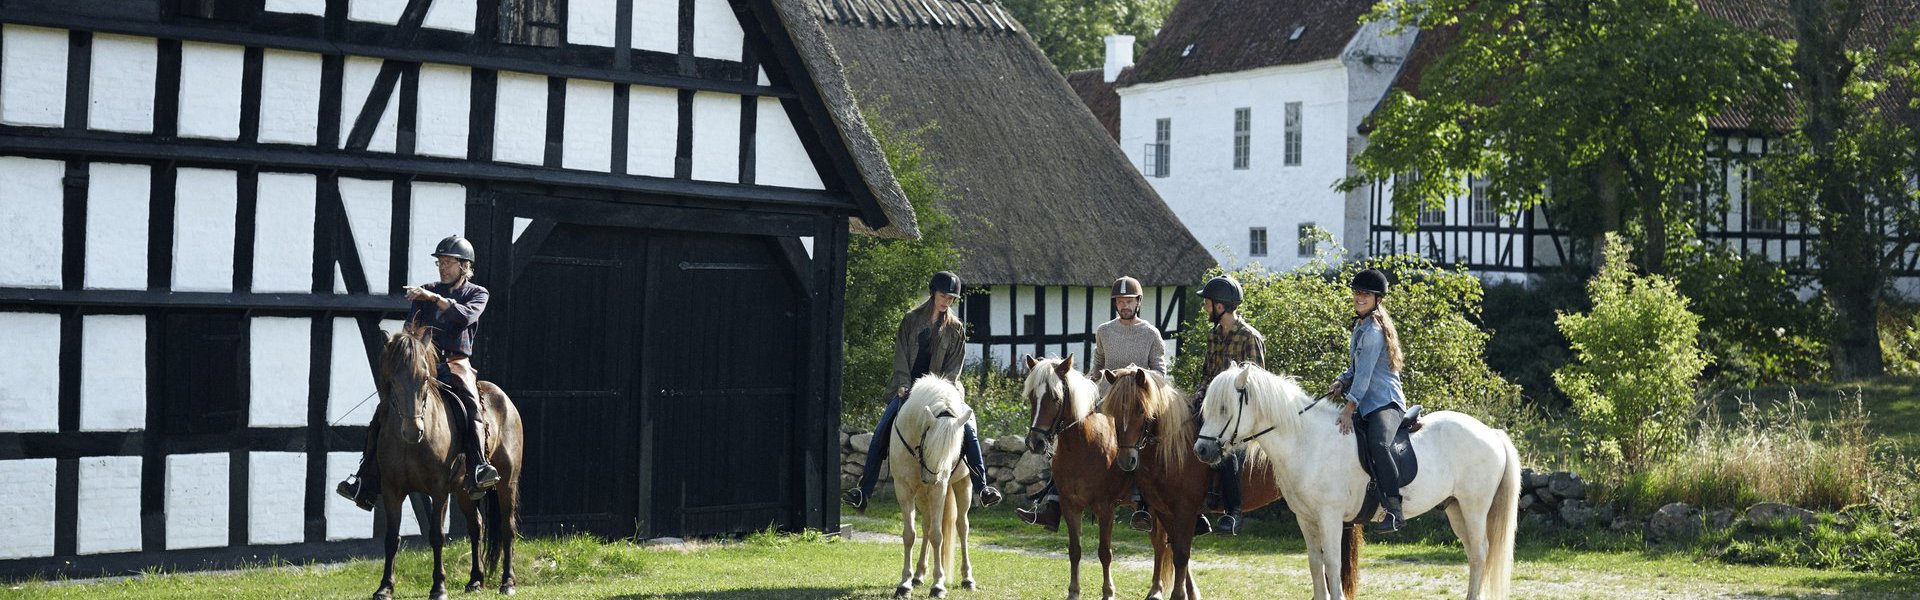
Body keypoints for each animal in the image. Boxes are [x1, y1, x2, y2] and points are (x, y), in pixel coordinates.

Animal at [371, 325, 525, 599]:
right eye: (392, 379)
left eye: (424, 378)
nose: (413, 431)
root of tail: (504, 399)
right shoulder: (391, 490)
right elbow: (391, 538)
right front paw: (385, 587)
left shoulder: (439, 490)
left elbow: (436, 535)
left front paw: (438, 587)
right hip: (464, 491)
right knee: (476, 527)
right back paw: (475, 580)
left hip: (507, 483)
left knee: (507, 528)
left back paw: (507, 582)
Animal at [888, 374, 976, 599]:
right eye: (928, 445)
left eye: (955, 450)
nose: (932, 478)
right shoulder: (904, 489)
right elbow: (910, 534)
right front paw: (905, 583)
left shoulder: (939, 490)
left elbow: (938, 536)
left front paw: (938, 585)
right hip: (922, 494)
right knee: (926, 525)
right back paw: (918, 575)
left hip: (963, 486)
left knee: (962, 527)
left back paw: (967, 578)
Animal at [1021, 355, 1131, 600]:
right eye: (1033, 397)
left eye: (1055, 397)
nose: (1036, 443)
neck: (1083, 446)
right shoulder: (1070, 505)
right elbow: (1075, 550)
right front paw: (1073, 590)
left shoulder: (1106, 507)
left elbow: (1105, 552)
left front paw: (1108, 591)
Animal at [1096, 365, 1304, 600]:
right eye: (1113, 411)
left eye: (1141, 409)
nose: (1127, 460)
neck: (1176, 448)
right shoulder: (1165, 511)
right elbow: (1175, 549)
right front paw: (1189, 592)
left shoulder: (1185, 510)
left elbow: (1180, 555)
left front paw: (1179, 595)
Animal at [1192, 362, 1519, 600]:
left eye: (1224, 408)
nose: (1201, 450)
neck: (1307, 442)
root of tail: (1491, 432)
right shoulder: (1306, 519)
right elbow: (1315, 564)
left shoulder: (1330, 516)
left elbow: (1333, 565)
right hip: (1455, 508)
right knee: (1474, 555)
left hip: (1474, 507)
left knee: (1480, 552)